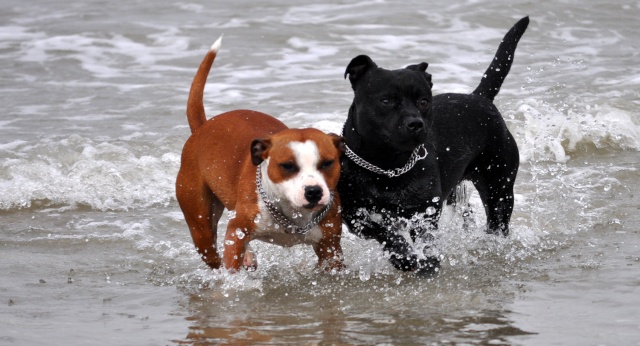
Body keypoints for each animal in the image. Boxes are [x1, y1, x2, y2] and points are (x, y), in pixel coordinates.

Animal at [175, 36, 344, 272]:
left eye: (327, 163)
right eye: (288, 166)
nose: (313, 191)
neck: (290, 213)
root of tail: (203, 128)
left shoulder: (330, 247)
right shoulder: (237, 231)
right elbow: (231, 263)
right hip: (200, 225)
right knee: (212, 252)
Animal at [338, 17, 528, 274]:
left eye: (424, 101)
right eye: (386, 100)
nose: (415, 123)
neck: (387, 164)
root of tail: (479, 97)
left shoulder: (425, 209)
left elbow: (424, 238)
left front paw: (426, 260)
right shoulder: (356, 214)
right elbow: (387, 234)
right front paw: (405, 258)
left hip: (498, 186)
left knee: (497, 220)